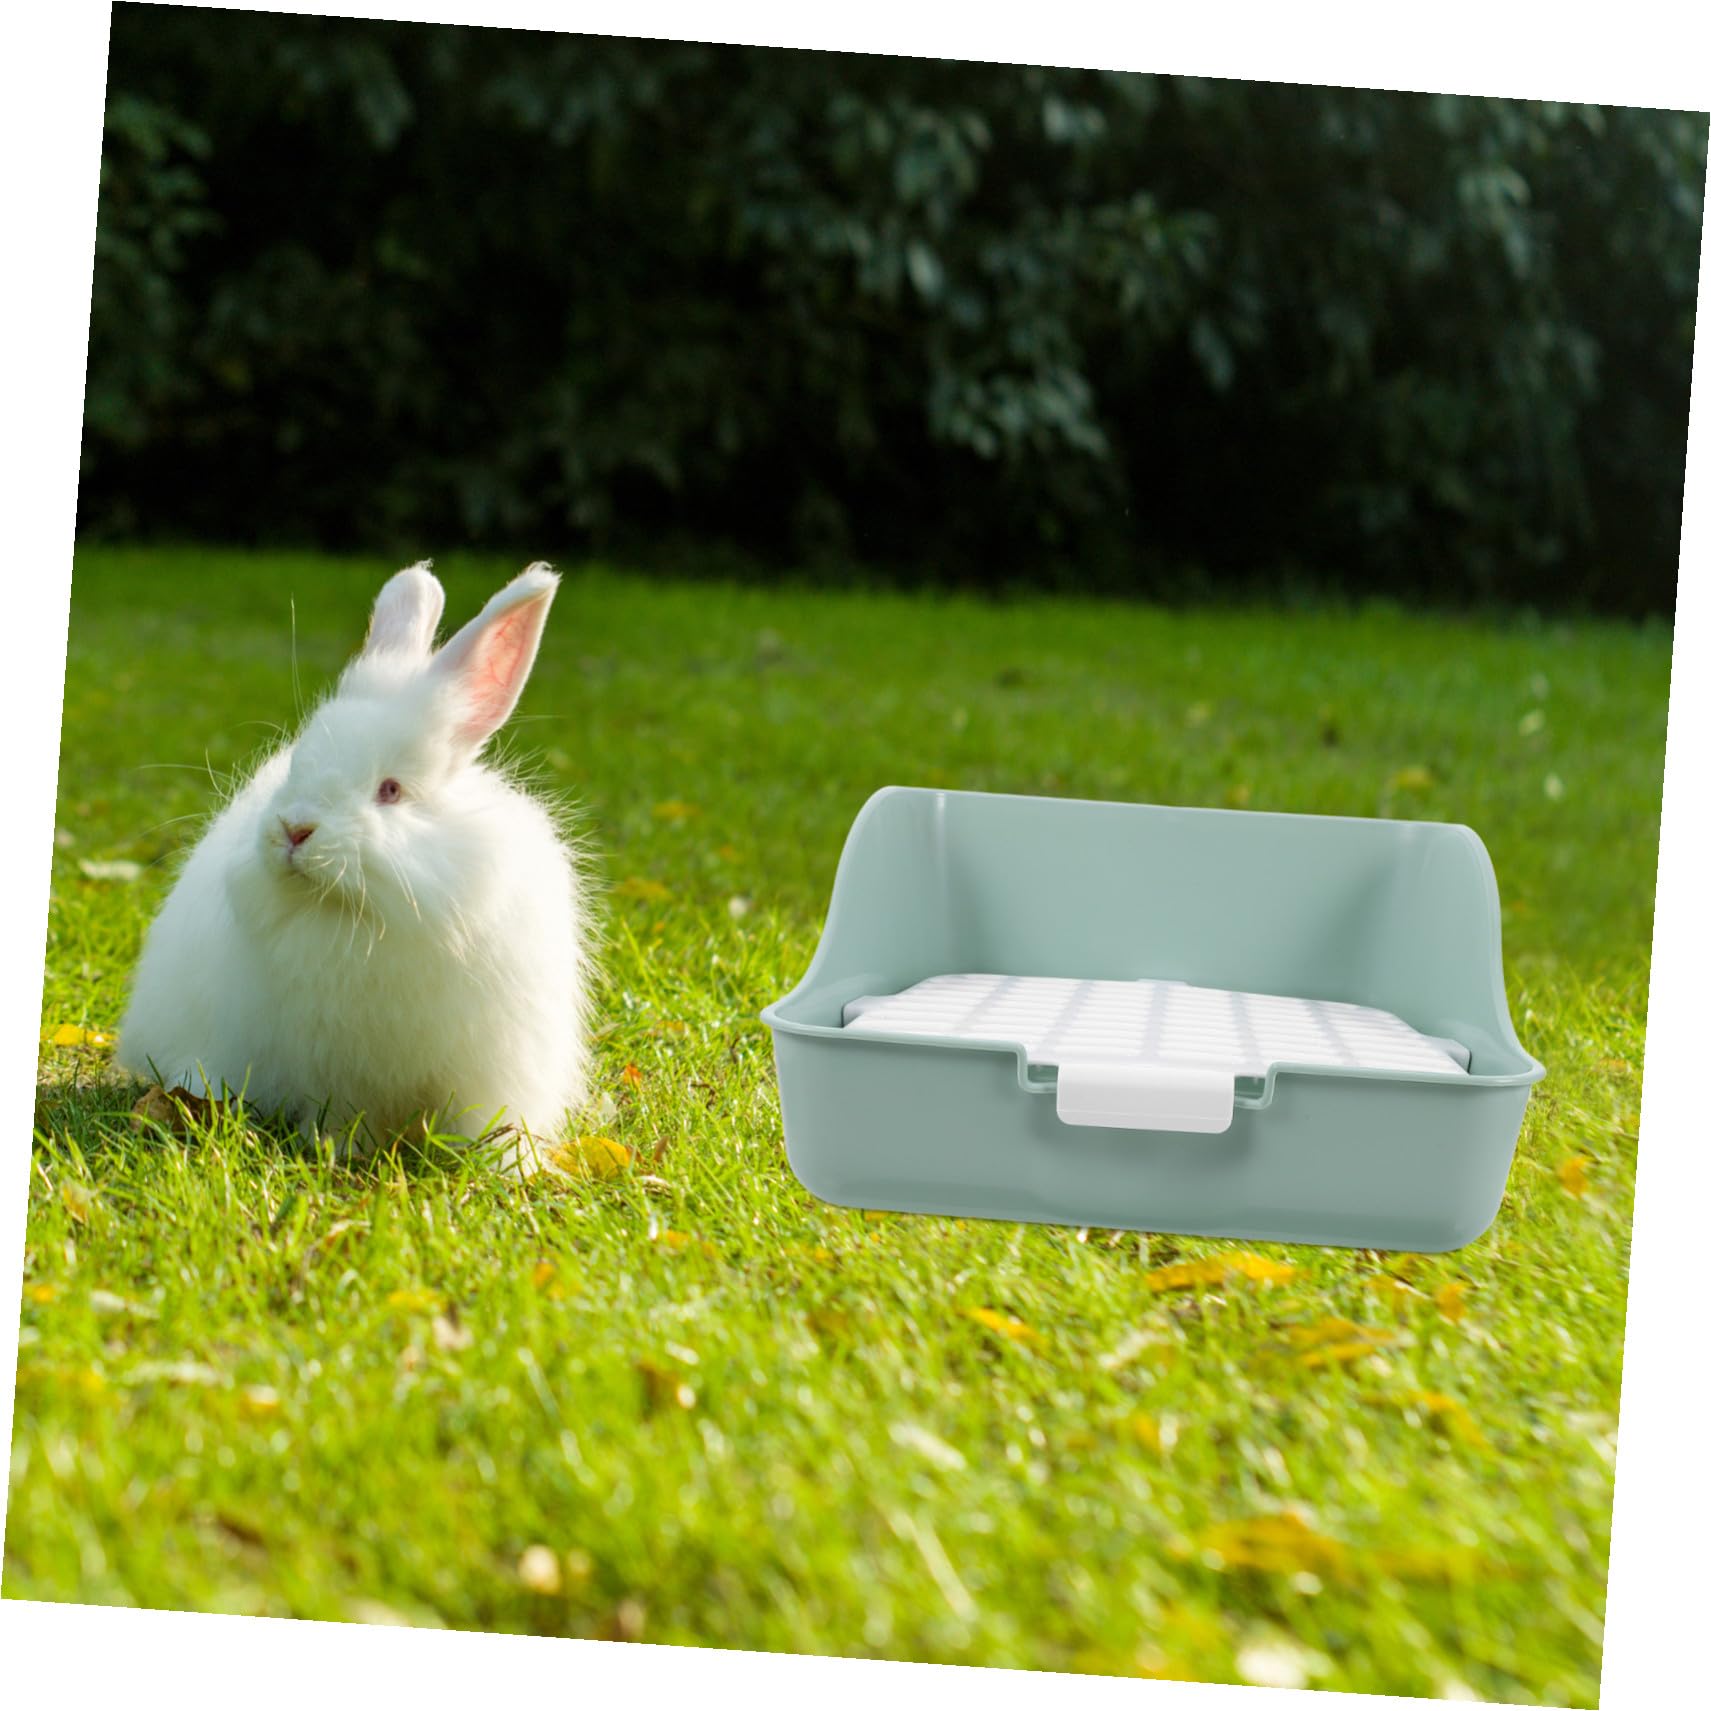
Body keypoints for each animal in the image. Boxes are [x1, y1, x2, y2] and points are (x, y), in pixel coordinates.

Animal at [116, 561, 591, 1173]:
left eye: (390, 790)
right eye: (298, 764)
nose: (294, 830)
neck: (366, 917)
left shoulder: (493, 1067)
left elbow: (489, 1125)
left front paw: (507, 1167)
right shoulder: (334, 1071)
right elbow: (343, 1117)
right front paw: (335, 1152)